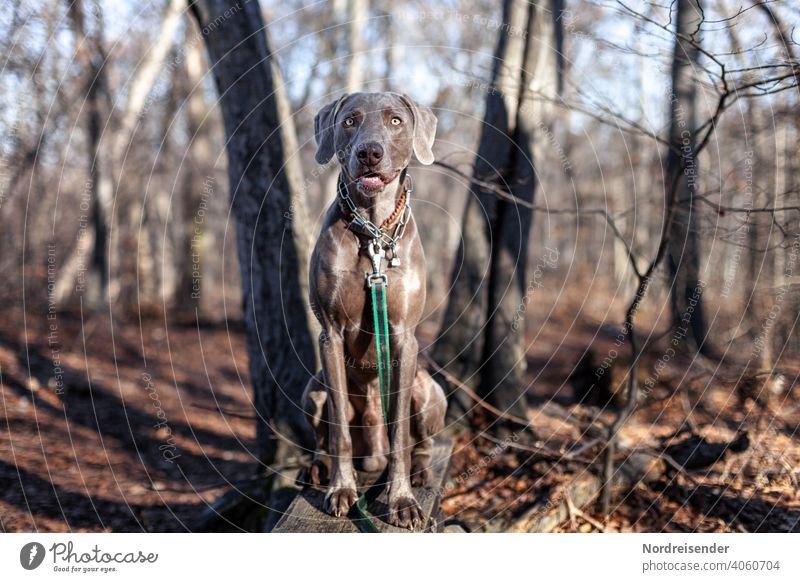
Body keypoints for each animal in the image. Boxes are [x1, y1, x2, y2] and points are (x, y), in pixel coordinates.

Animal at [302, 93, 450, 532]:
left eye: (396, 120)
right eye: (349, 121)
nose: (370, 152)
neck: (373, 233)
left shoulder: (403, 336)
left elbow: (400, 430)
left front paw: (401, 501)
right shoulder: (330, 335)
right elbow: (338, 431)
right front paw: (341, 491)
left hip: (430, 390)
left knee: (422, 443)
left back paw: (419, 472)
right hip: (312, 389)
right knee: (323, 434)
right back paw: (318, 468)